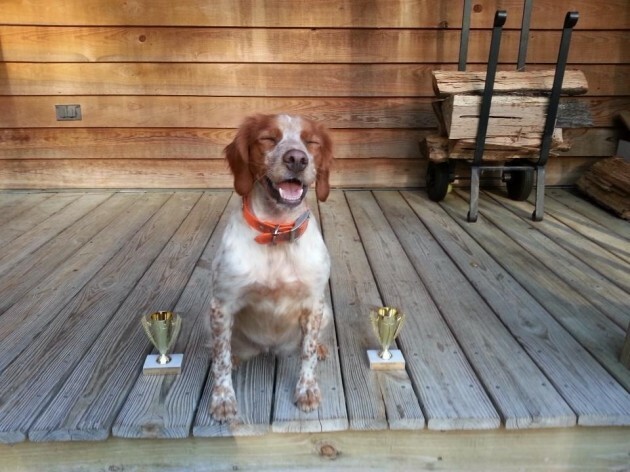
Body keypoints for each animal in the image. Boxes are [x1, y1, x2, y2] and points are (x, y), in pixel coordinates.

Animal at [207, 113, 336, 420]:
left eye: (312, 142)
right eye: (267, 138)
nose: (297, 159)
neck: (277, 232)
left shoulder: (314, 304)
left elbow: (307, 354)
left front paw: (307, 390)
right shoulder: (221, 305)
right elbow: (220, 360)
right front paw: (222, 399)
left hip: (326, 313)